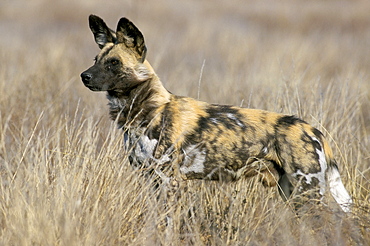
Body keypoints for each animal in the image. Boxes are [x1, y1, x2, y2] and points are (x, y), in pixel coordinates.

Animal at [80, 14, 352, 212]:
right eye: (95, 59)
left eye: (114, 63)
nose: (84, 76)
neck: (147, 109)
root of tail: (312, 130)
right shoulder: (152, 180)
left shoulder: (170, 181)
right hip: (291, 193)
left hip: (307, 193)